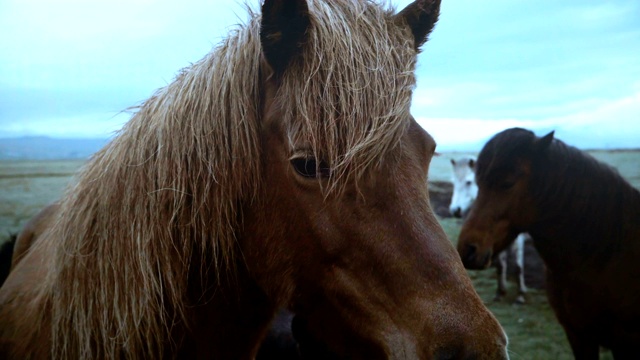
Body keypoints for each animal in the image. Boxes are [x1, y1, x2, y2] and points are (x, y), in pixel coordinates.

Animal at [448, 157, 528, 304]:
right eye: (453, 182)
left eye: (469, 182)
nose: (455, 210)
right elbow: (500, 265)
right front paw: (500, 292)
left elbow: (518, 266)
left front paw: (520, 295)